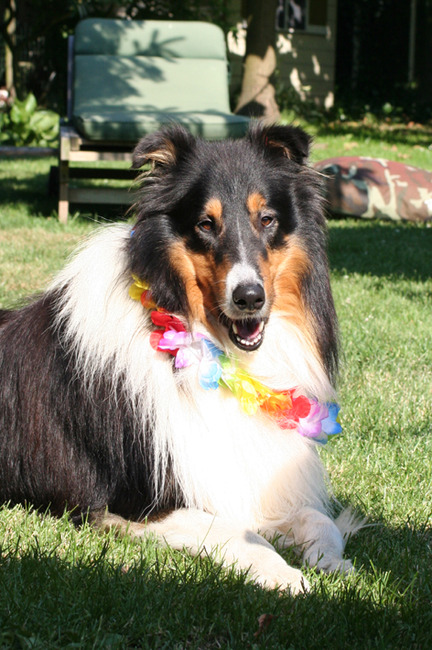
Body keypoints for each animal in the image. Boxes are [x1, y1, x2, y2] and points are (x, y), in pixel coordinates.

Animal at [0, 123, 359, 594]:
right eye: (205, 223)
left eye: (267, 219)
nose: (249, 297)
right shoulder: (137, 502)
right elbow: (234, 531)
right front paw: (282, 573)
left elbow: (317, 519)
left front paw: (332, 560)